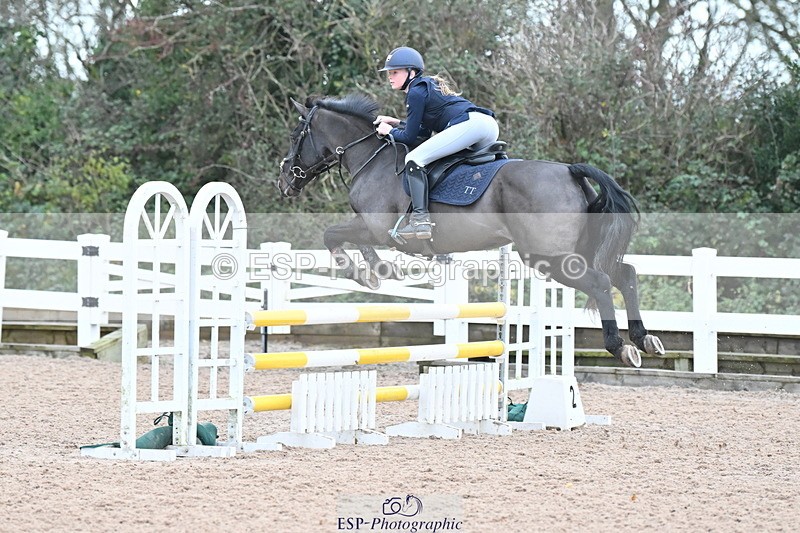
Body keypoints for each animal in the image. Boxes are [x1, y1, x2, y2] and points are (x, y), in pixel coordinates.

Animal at [276, 94, 664, 367]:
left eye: (296, 135)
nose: (284, 182)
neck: (371, 158)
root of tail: (570, 170)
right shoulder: (372, 229)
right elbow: (344, 238)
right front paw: (377, 270)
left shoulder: (376, 228)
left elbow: (333, 235)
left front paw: (368, 274)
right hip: (575, 250)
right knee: (626, 274)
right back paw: (645, 339)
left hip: (547, 257)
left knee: (601, 281)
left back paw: (621, 347)